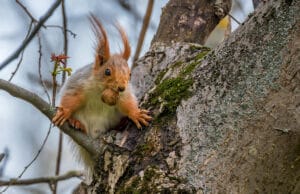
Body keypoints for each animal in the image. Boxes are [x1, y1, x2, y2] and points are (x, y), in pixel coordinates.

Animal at [52, 15, 152, 146]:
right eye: (107, 71)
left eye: (130, 74)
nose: (121, 87)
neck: (101, 89)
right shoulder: (79, 84)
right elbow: (71, 98)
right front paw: (65, 112)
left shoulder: (123, 95)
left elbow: (127, 103)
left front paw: (136, 114)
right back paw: (77, 123)